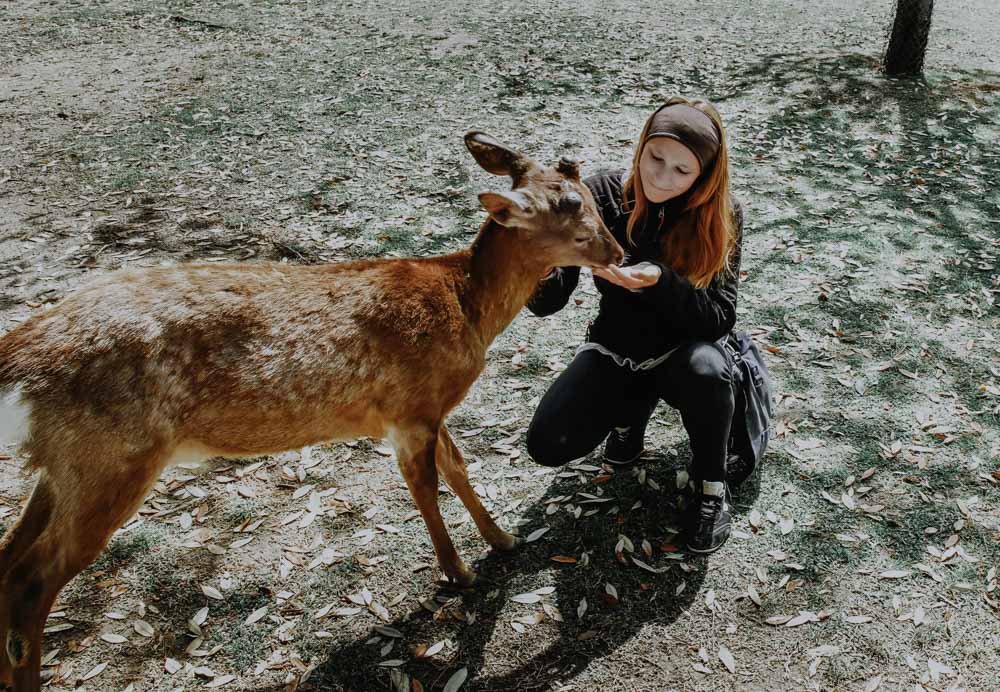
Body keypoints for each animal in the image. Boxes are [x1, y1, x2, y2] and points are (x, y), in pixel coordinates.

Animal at [0, 132, 624, 688]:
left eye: (589, 195)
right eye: (574, 207)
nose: (617, 252)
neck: (465, 306)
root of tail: (18, 365)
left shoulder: (427, 412)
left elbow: (459, 465)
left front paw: (503, 540)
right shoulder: (409, 407)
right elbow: (427, 485)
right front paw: (459, 571)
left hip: (67, 464)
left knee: (9, 557)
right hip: (113, 457)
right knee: (30, 581)